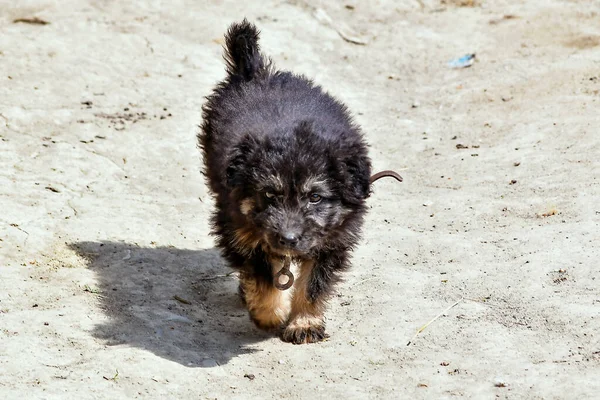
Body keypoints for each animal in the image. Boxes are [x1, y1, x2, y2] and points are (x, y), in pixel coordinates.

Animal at [199, 19, 372, 344]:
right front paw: (269, 313)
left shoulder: (334, 237)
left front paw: (304, 323)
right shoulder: (239, 228)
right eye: (269, 194)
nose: (289, 239)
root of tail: (254, 73)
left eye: (315, 197)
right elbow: (263, 275)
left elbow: (313, 284)